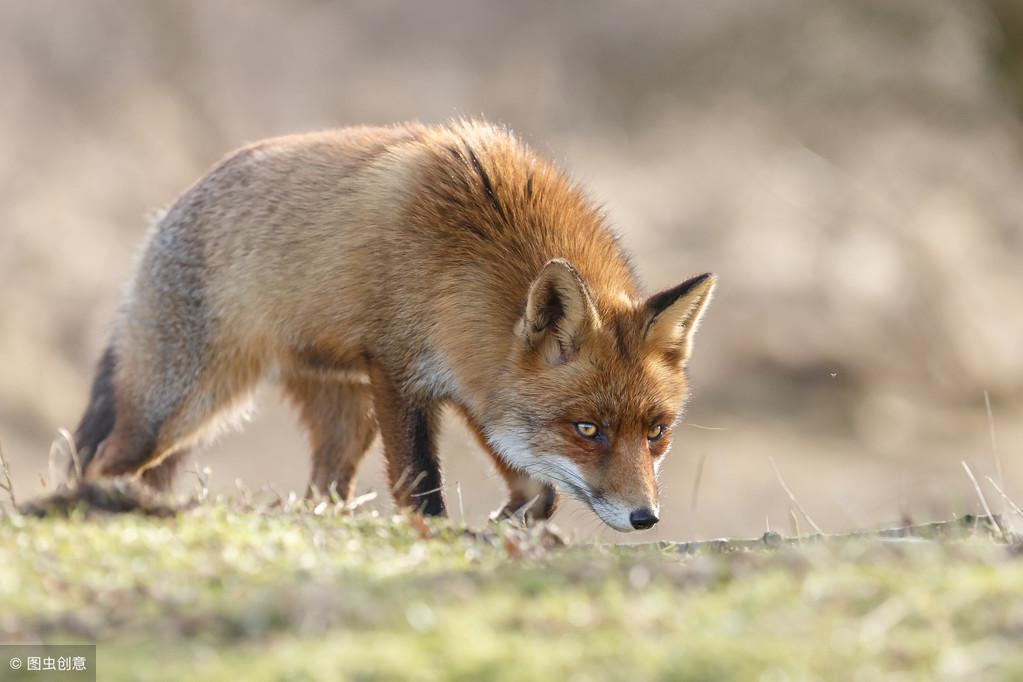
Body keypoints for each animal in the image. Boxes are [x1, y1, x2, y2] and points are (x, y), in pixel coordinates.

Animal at [72, 118, 716, 531]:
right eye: (587, 429)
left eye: (656, 432)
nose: (645, 518)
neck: (468, 251)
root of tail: (167, 213)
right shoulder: (399, 371)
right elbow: (422, 487)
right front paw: (443, 538)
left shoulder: (477, 382)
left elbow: (539, 494)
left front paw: (503, 530)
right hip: (180, 406)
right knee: (103, 459)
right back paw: (101, 503)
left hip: (345, 415)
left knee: (323, 488)